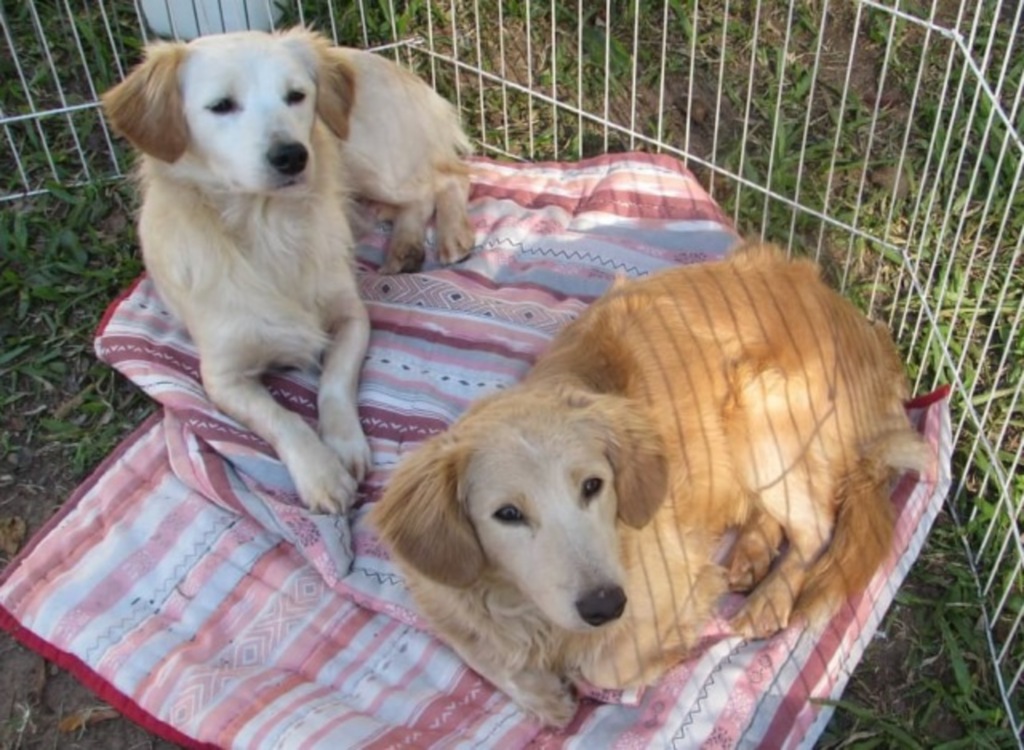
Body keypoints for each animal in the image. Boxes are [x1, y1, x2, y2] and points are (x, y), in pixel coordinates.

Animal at [101, 27, 473, 510]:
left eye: (296, 95)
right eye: (221, 105)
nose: (292, 156)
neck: (268, 229)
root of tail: (389, 63)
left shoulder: (352, 318)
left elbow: (334, 384)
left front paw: (343, 446)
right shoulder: (221, 378)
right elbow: (280, 418)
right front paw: (321, 472)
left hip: (370, 163)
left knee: (447, 177)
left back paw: (451, 233)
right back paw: (405, 247)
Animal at [370, 241, 929, 725]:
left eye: (593, 486)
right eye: (507, 514)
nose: (604, 604)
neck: (534, 614)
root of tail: (861, 325)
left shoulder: (672, 576)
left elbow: (604, 665)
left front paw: (667, 649)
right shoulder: (438, 589)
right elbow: (475, 648)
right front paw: (546, 699)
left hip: (759, 412)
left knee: (817, 526)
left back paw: (769, 597)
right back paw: (751, 552)